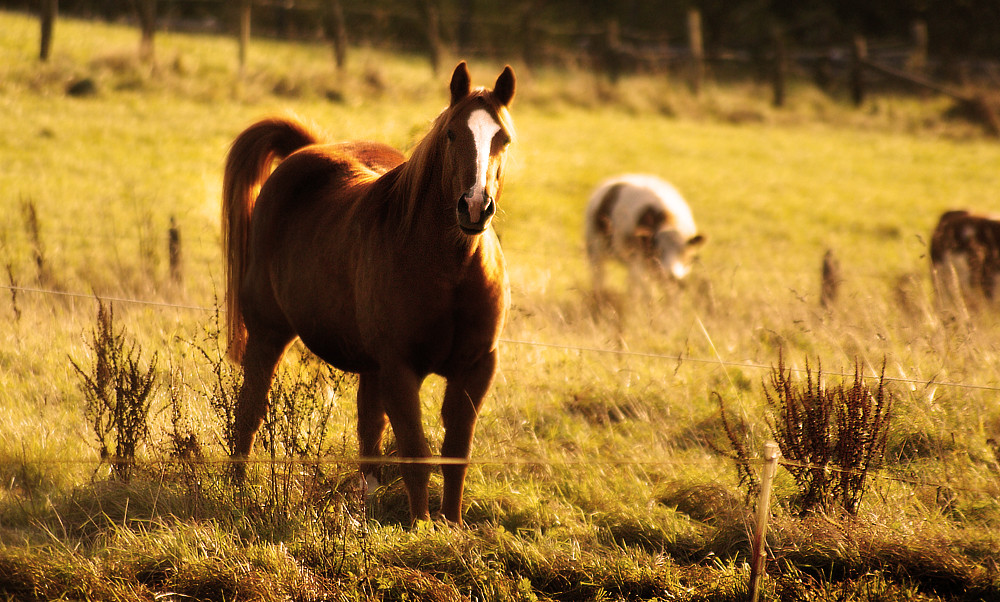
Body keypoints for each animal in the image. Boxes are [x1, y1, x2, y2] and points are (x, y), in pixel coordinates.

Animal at [221, 62, 516, 520]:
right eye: (452, 134)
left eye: (502, 138)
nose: (474, 206)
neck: (451, 271)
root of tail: (309, 151)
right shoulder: (400, 368)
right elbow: (416, 455)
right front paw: (422, 527)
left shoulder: (476, 367)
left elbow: (455, 455)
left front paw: (451, 525)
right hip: (269, 334)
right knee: (249, 410)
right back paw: (236, 490)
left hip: (370, 367)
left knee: (369, 433)